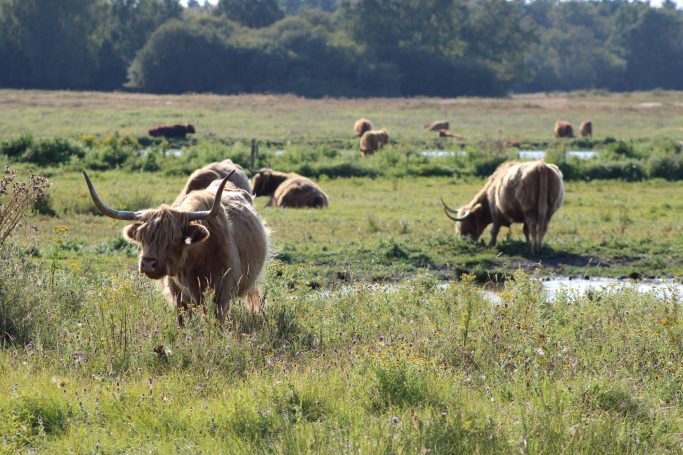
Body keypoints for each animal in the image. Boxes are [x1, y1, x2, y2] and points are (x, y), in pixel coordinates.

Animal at [83, 170, 269, 325]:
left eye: (174, 238)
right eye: (142, 237)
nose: (148, 264)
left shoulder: (222, 290)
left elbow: (218, 319)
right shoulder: (178, 293)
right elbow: (182, 320)